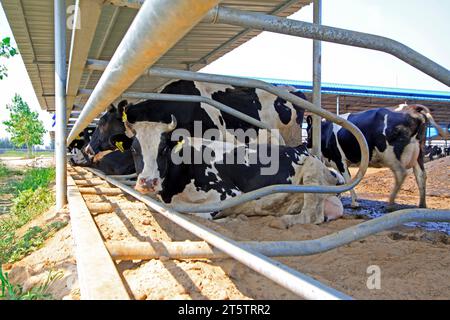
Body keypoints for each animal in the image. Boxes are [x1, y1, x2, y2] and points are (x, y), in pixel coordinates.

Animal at [306, 103, 446, 210]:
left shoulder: (340, 159)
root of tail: (411, 108)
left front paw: (354, 202)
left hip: (390, 153)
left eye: (307, 130)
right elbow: (345, 179)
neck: (326, 130)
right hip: (418, 154)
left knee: (401, 173)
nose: (307, 144)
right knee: (421, 176)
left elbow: (348, 179)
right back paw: (422, 205)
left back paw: (390, 204)